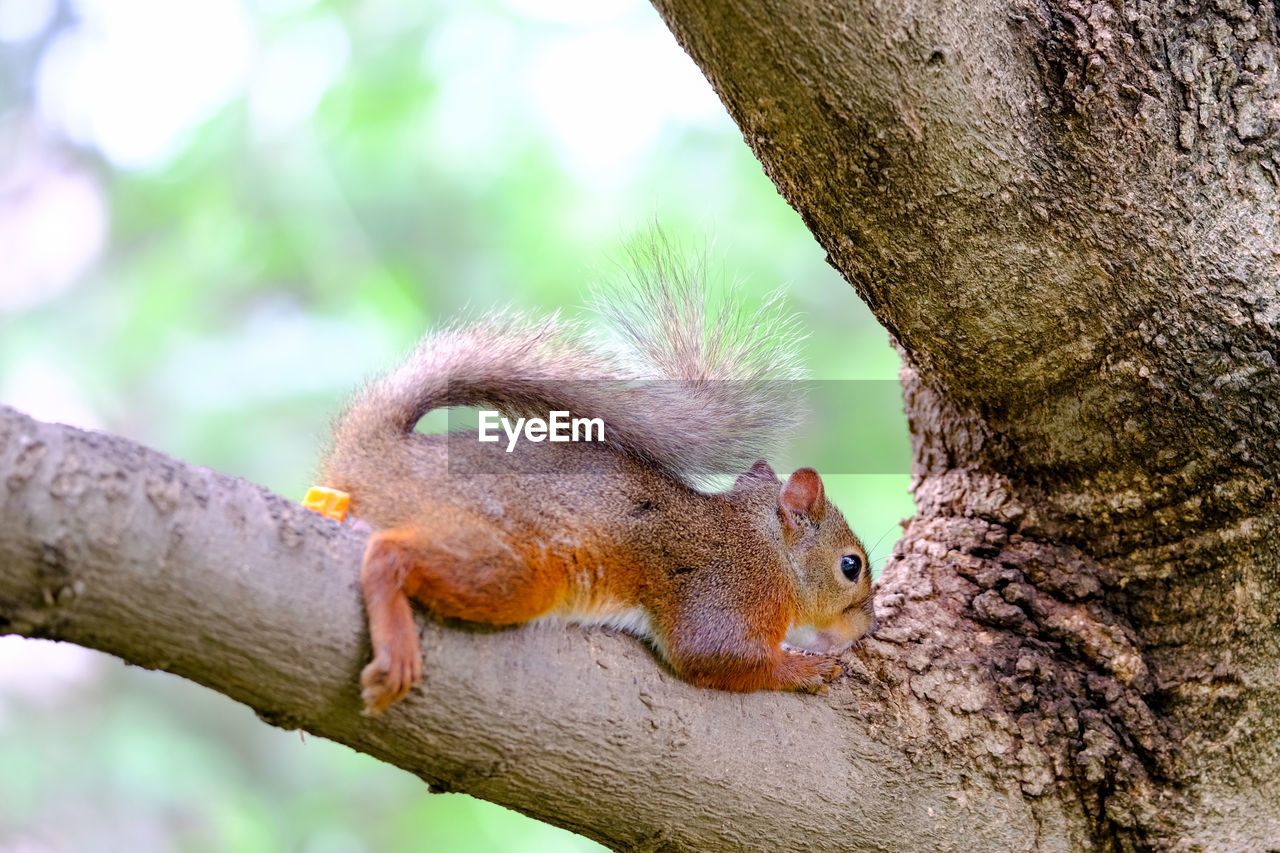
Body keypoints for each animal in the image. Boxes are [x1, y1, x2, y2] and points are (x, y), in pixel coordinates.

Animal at [320, 256, 880, 712]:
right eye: (851, 566)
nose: (866, 627)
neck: (771, 554)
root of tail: (376, 456)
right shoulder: (727, 591)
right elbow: (713, 654)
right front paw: (805, 667)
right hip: (509, 564)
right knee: (389, 552)